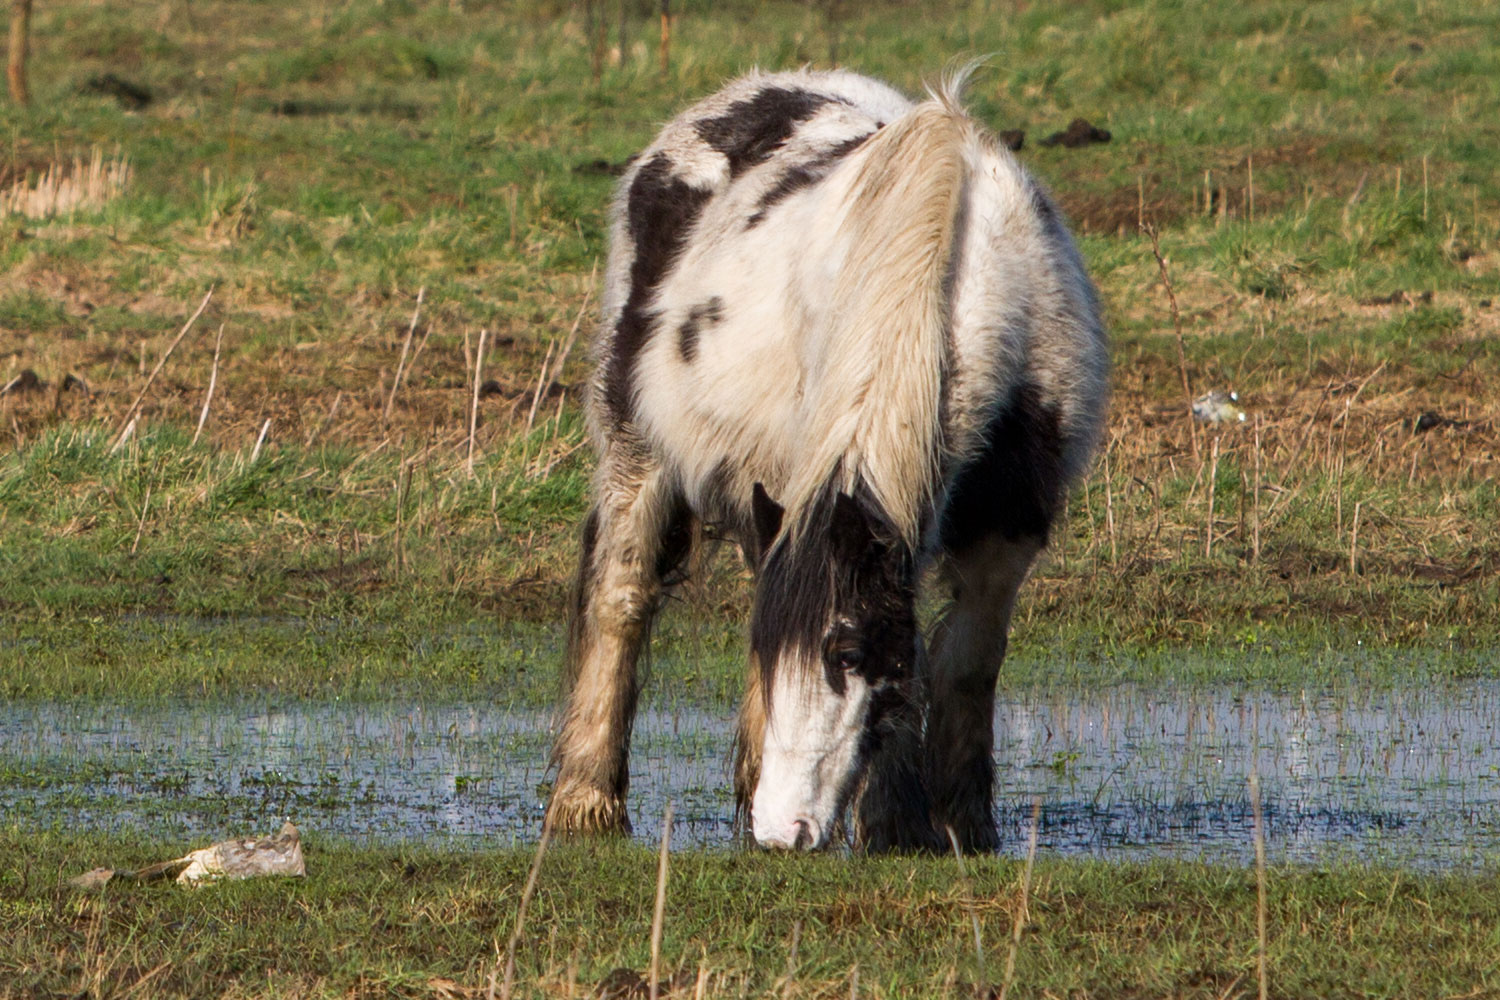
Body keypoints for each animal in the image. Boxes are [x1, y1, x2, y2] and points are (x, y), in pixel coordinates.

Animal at [546, 64, 1110, 851]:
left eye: (847, 654)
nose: (783, 829)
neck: (968, 277)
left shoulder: (1010, 518)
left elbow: (962, 661)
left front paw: (952, 824)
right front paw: (897, 821)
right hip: (636, 447)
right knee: (620, 597)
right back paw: (587, 801)